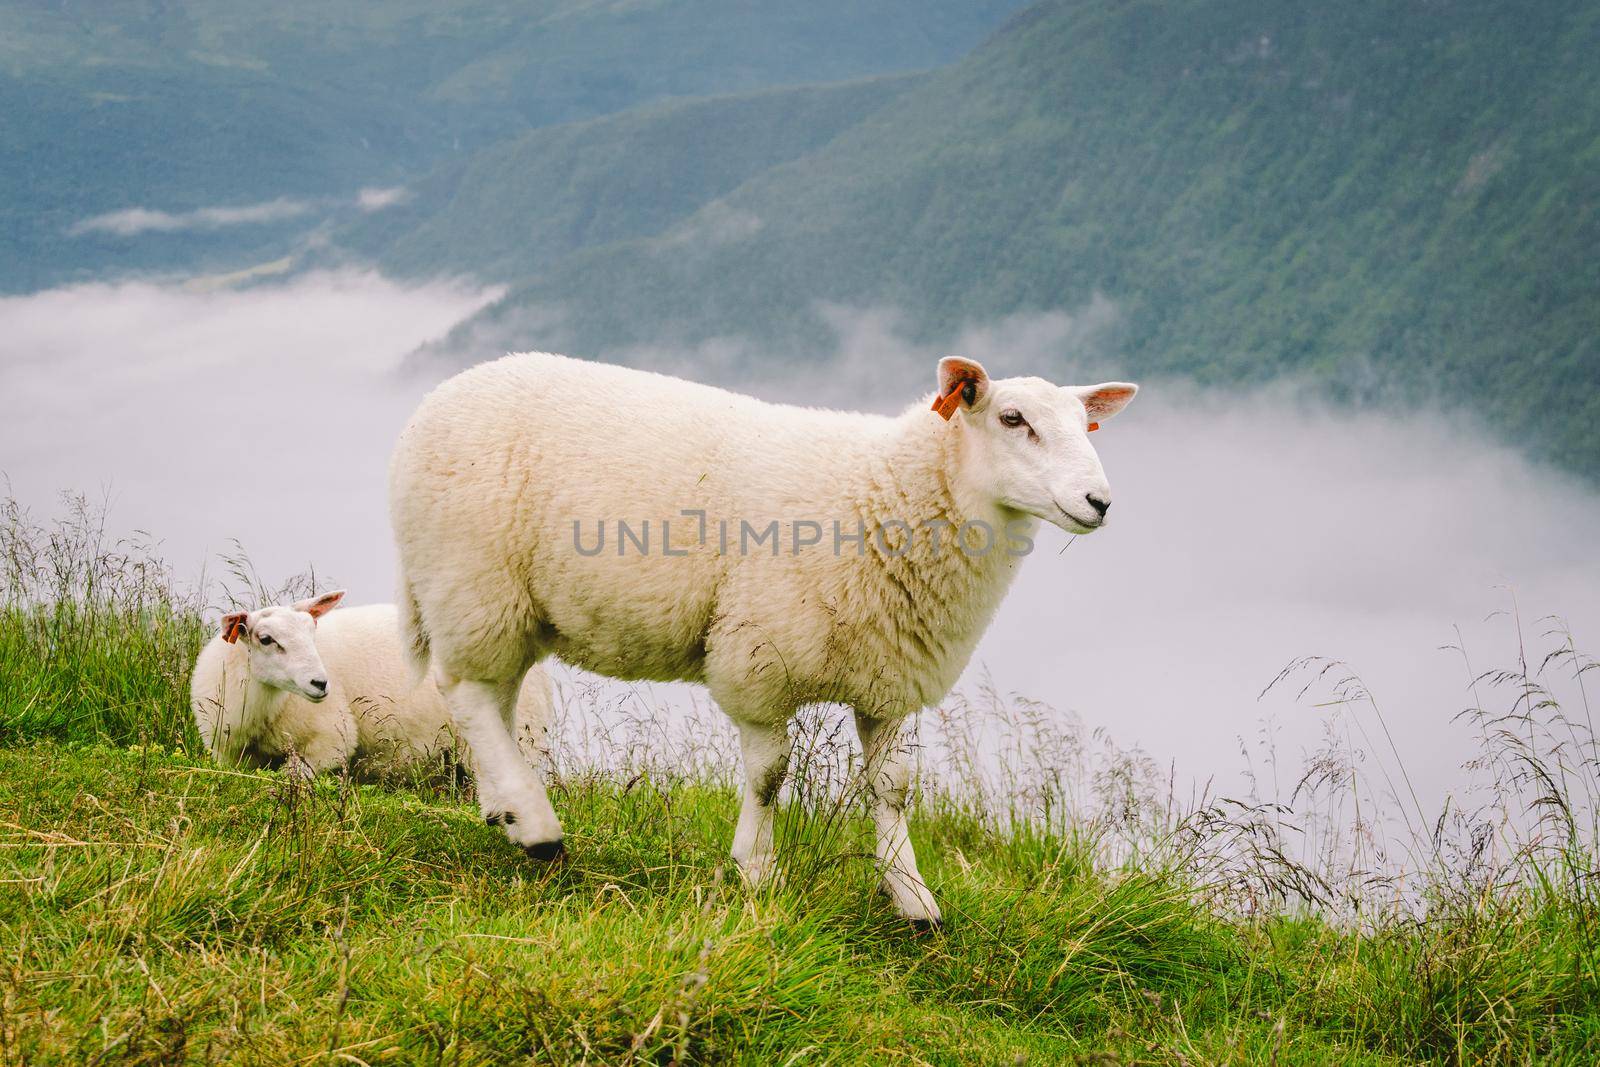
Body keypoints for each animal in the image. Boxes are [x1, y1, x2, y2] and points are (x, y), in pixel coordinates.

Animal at [388, 351, 1139, 927]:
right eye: (1013, 419)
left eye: (1086, 424)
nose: (1100, 502)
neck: (888, 493)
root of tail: (438, 396)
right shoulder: (758, 659)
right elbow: (769, 774)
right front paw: (756, 869)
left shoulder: (891, 676)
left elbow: (894, 787)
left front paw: (912, 896)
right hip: (474, 581)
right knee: (467, 692)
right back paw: (538, 828)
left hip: (512, 605)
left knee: (495, 696)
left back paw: (505, 807)